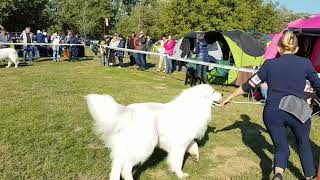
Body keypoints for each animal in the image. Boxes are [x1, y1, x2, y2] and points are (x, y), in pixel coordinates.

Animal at [86, 84, 224, 180]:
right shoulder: (180, 145)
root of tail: (128, 112)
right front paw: (180, 174)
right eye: (212, 92)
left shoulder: (185, 141)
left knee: (116, 167)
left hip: (124, 148)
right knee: (126, 168)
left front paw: (195, 157)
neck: (194, 108)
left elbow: (194, 145)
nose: (222, 93)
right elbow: (178, 161)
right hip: (144, 146)